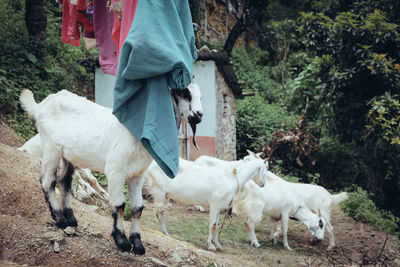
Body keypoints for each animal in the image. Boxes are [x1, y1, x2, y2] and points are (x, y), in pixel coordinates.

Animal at [18, 85, 202, 255]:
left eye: (200, 95)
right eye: (184, 93)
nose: (199, 114)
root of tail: (40, 105)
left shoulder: (138, 175)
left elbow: (137, 208)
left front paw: (138, 245)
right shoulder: (115, 172)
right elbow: (119, 205)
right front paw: (122, 242)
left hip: (68, 155)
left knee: (65, 182)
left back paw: (71, 219)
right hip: (51, 149)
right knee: (47, 181)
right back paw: (59, 218)